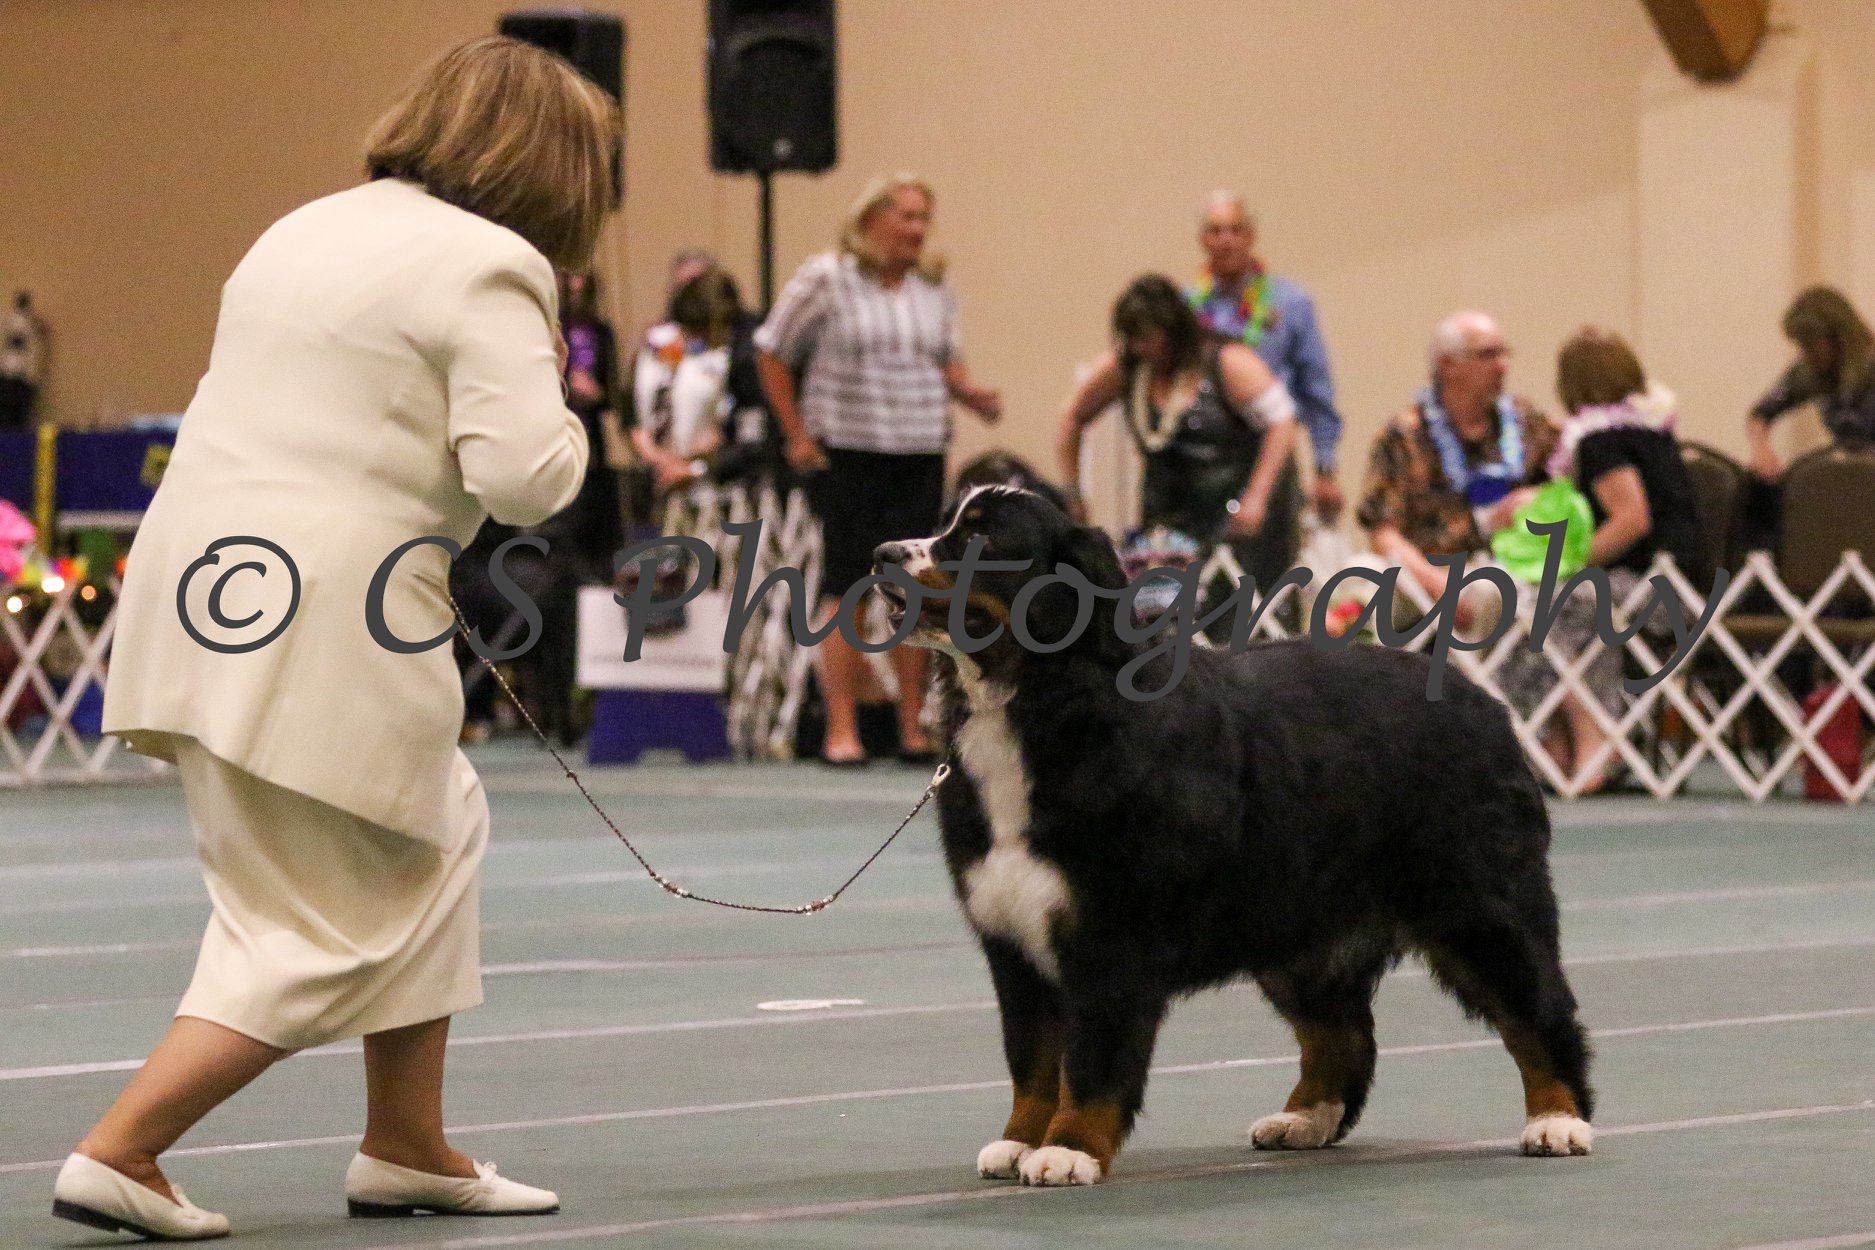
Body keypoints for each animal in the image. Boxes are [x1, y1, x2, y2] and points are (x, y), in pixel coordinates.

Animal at [870, 487, 1590, 1191]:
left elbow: (1093, 1059)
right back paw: (1305, 1120)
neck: (1040, 701)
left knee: (1540, 1012)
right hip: (1299, 933)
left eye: (982, 537)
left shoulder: (1108, 937)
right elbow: (1032, 1059)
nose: (882, 554)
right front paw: (1019, 1140)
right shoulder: (1013, 941)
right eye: (944, 523)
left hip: (1480, 905)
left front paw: (1068, 1149)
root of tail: (1484, 704)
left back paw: (1558, 1121)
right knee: (1344, 1036)